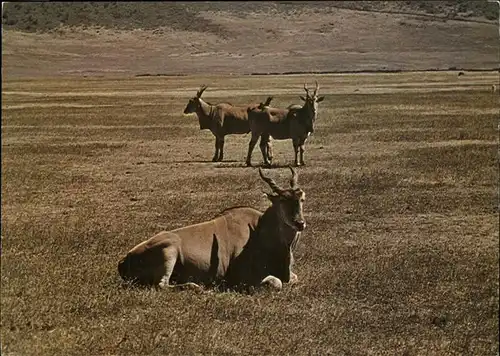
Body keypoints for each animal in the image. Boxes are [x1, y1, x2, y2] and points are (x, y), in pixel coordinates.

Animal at [118, 167, 304, 292]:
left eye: (302, 198)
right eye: (282, 200)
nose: (300, 223)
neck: (259, 229)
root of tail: (126, 258)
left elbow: (294, 278)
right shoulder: (243, 278)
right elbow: (276, 283)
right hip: (169, 251)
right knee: (161, 285)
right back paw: (196, 287)